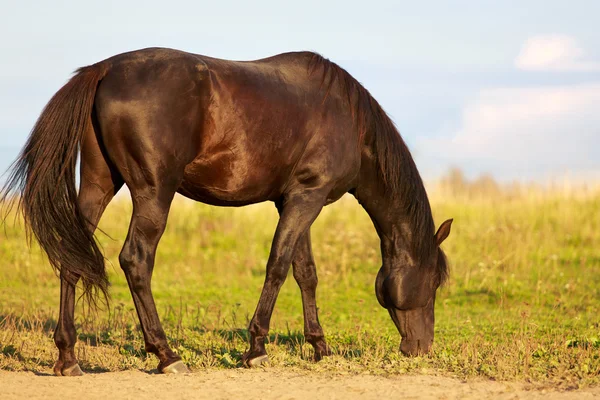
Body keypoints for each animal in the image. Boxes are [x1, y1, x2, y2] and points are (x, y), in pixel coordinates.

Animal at [0, 47, 452, 376]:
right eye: (433, 281)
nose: (421, 348)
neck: (350, 121)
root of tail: (104, 69)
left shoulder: (296, 199)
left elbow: (305, 272)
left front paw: (319, 346)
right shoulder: (306, 198)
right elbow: (278, 266)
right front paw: (256, 348)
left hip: (99, 183)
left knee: (71, 257)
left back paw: (67, 357)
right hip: (153, 192)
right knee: (136, 260)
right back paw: (166, 354)